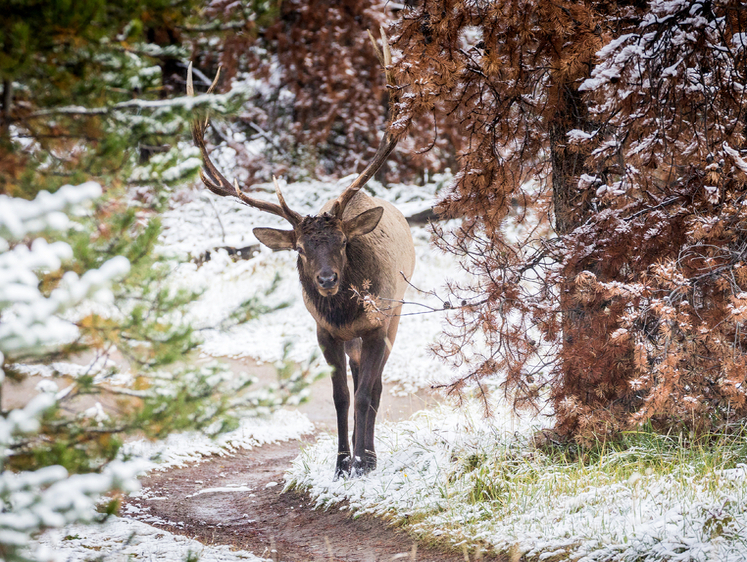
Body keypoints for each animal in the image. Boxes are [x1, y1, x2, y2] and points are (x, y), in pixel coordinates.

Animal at [187, 28, 414, 474]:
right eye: (301, 249)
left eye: (343, 243)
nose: (326, 279)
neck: (346, 313)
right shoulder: (323, 331)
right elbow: (340, 397)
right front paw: (341, 464)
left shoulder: (378, 324)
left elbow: (367, 393)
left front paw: (363, 461)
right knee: (359, 381)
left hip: (397, 314)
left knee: (376, 386)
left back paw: (370, 453)